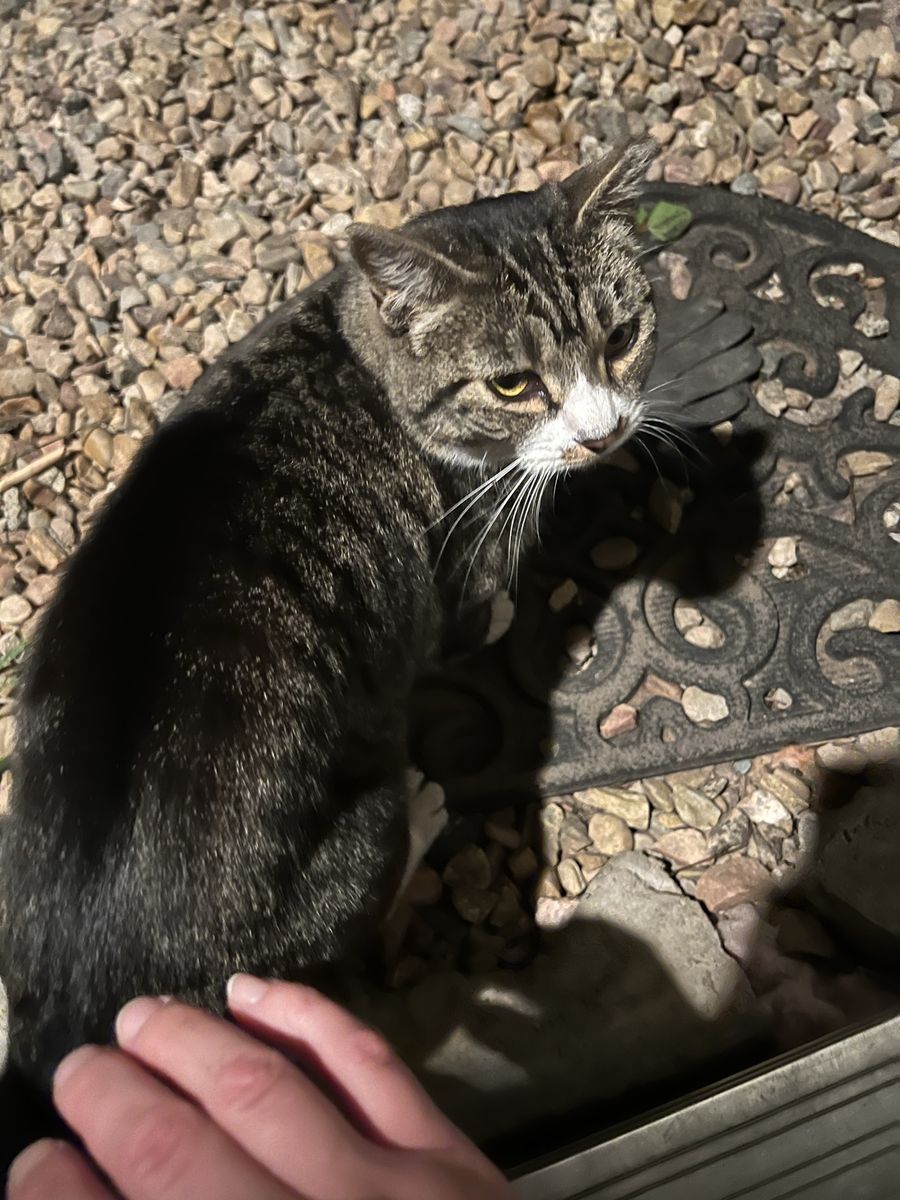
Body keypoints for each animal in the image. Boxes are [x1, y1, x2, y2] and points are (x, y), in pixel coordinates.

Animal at [0, 138, 658, 1161]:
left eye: (624, 335)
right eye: (512, 384)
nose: (606, 433)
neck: (352, 340)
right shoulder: (456, 565)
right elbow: (473, 613)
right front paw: (505, 609)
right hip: (358, 824)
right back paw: (425, 810)